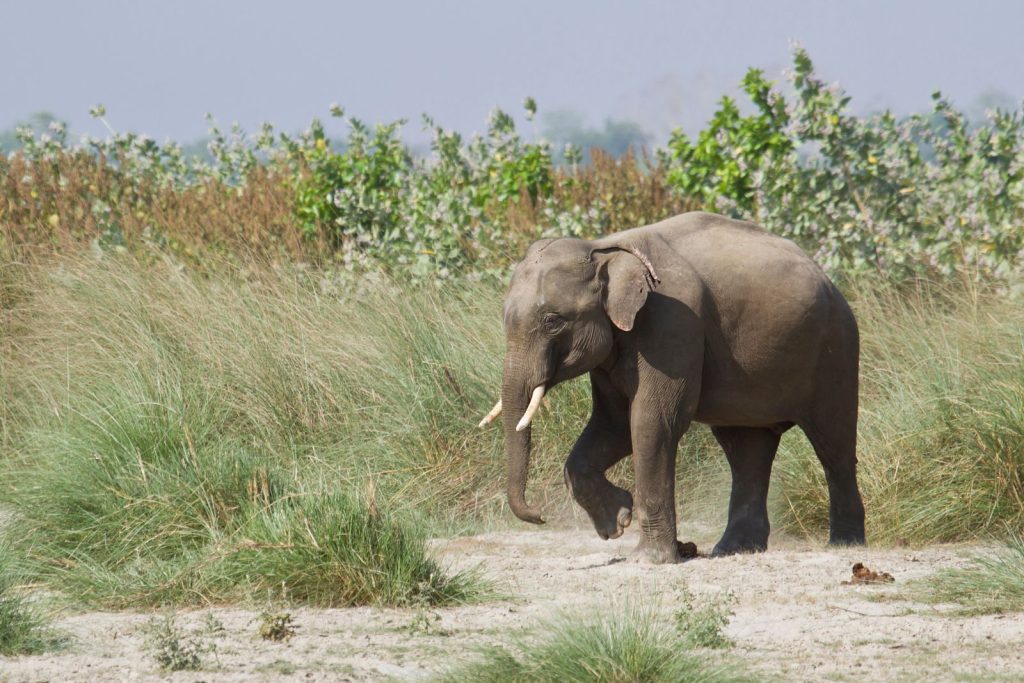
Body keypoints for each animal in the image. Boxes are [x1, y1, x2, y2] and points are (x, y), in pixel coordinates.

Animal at [479, 211, 865, 563]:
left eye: (552, 321)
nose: (539, 516)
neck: (604, 248)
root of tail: (827, 277)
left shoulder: (673, 321)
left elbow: (652, 422)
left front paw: (648, 558)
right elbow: (613, 424)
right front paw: (617, 522)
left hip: (836, 347)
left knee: (833, 444)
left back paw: (844, 544)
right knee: (746, 449)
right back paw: (735, 549)